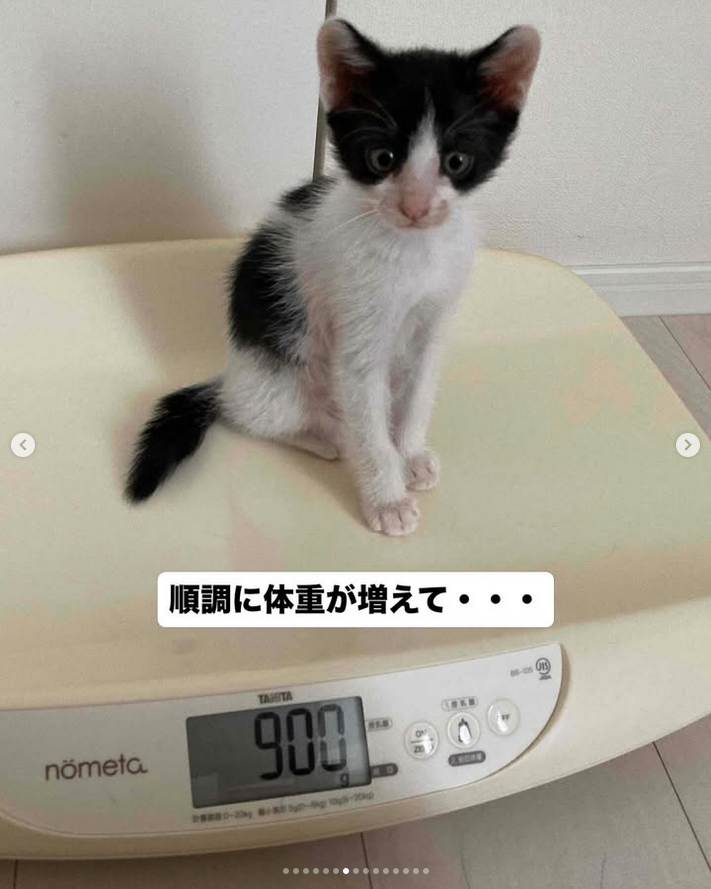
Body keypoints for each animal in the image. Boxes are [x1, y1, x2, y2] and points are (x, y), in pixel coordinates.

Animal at [125, 18, 540, 536]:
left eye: (456, 161)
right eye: (382, 158)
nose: (416, 207)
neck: (413, 251)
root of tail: (229, 377)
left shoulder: (436, 317)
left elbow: (419, 393)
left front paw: (410, 453)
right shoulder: (357, 338)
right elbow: (370, 423)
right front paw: (387, 498)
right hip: (277, 383)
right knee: (251, 417)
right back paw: (326, 435)